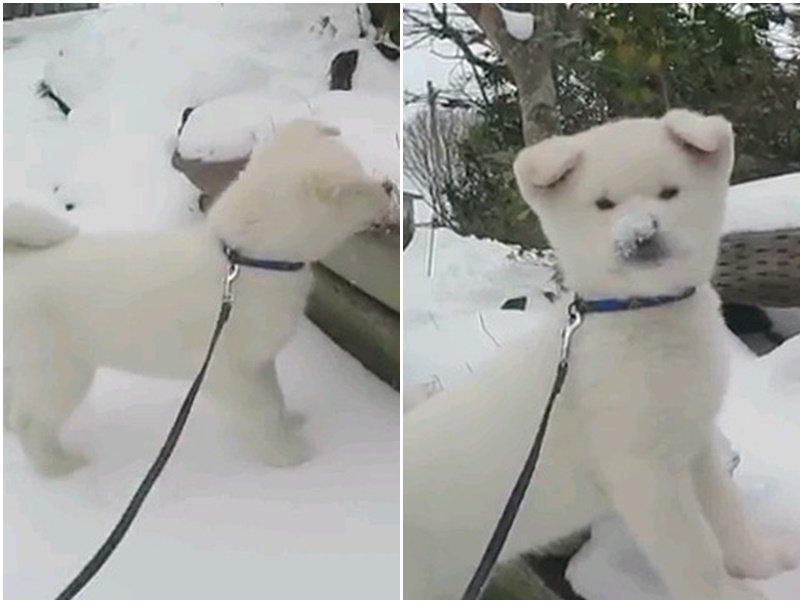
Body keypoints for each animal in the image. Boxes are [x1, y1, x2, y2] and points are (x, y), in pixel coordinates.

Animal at [3, 119, 390, 476]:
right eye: (357, 187)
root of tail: (16, 263)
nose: (388, 186)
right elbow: (261, 411)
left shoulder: (259, 360)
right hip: (62, 371)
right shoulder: (229, 371)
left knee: (16, 407)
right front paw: (289, 457)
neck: (246, 259)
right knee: (34, 423)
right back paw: (59, 466)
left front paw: (288, 421)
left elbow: (274, 397)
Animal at [406, 109, 796, 600]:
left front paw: (765, 564)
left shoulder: (696, 442)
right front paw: (731, 595)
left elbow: (728, 516)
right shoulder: (640, 470)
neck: (643, 316)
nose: (641, 233)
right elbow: (693, 551)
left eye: (669, 192)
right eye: (604, 204)